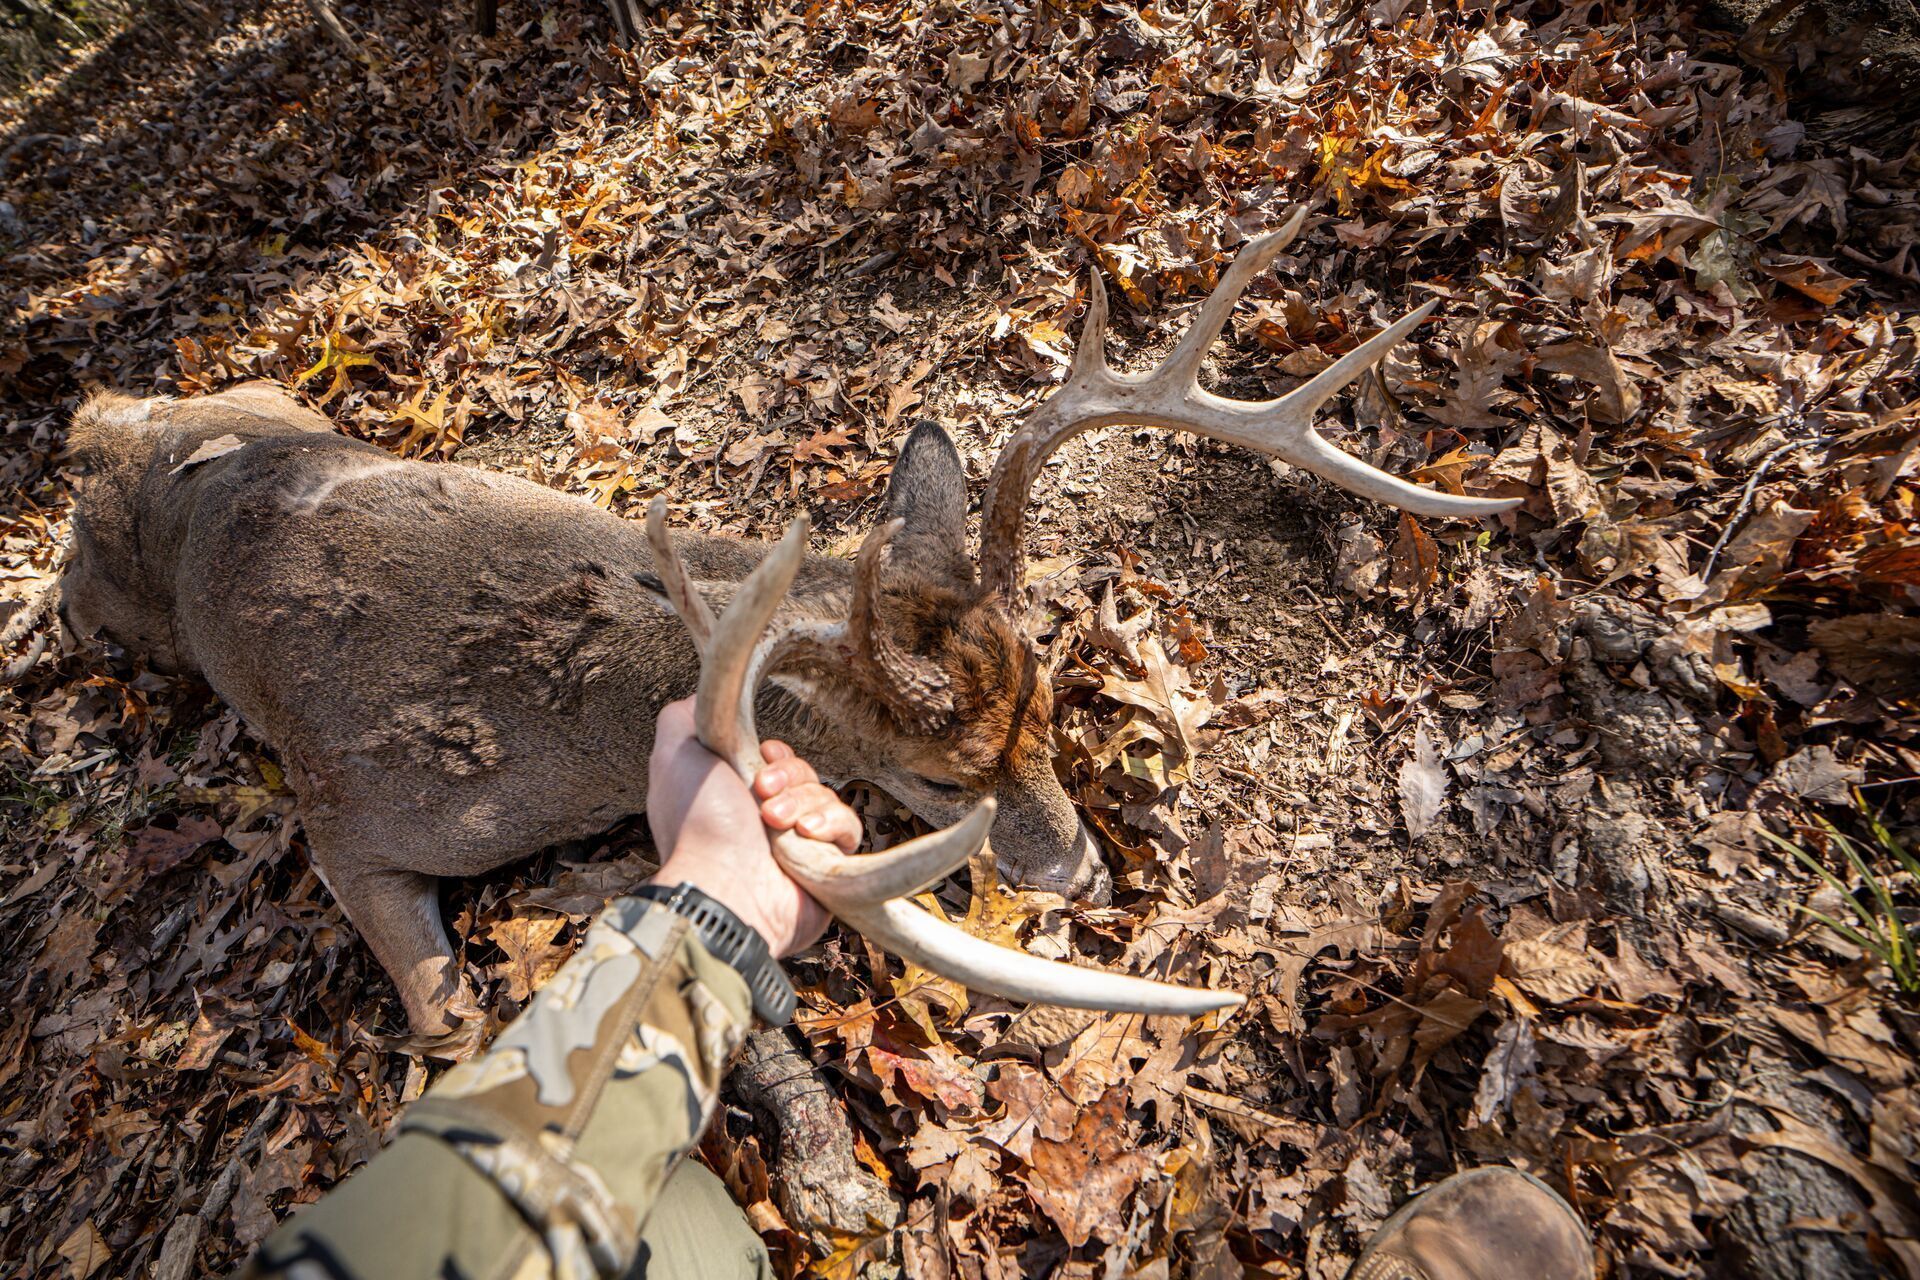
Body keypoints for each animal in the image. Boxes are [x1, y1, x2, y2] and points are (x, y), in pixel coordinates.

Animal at [44, 207, 1516, 1042]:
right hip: (127, 595)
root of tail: (112, 426)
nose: (1089, 875)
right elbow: (448, 1017)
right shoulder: (344, 811)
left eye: (1050, 710)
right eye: (939, 782)